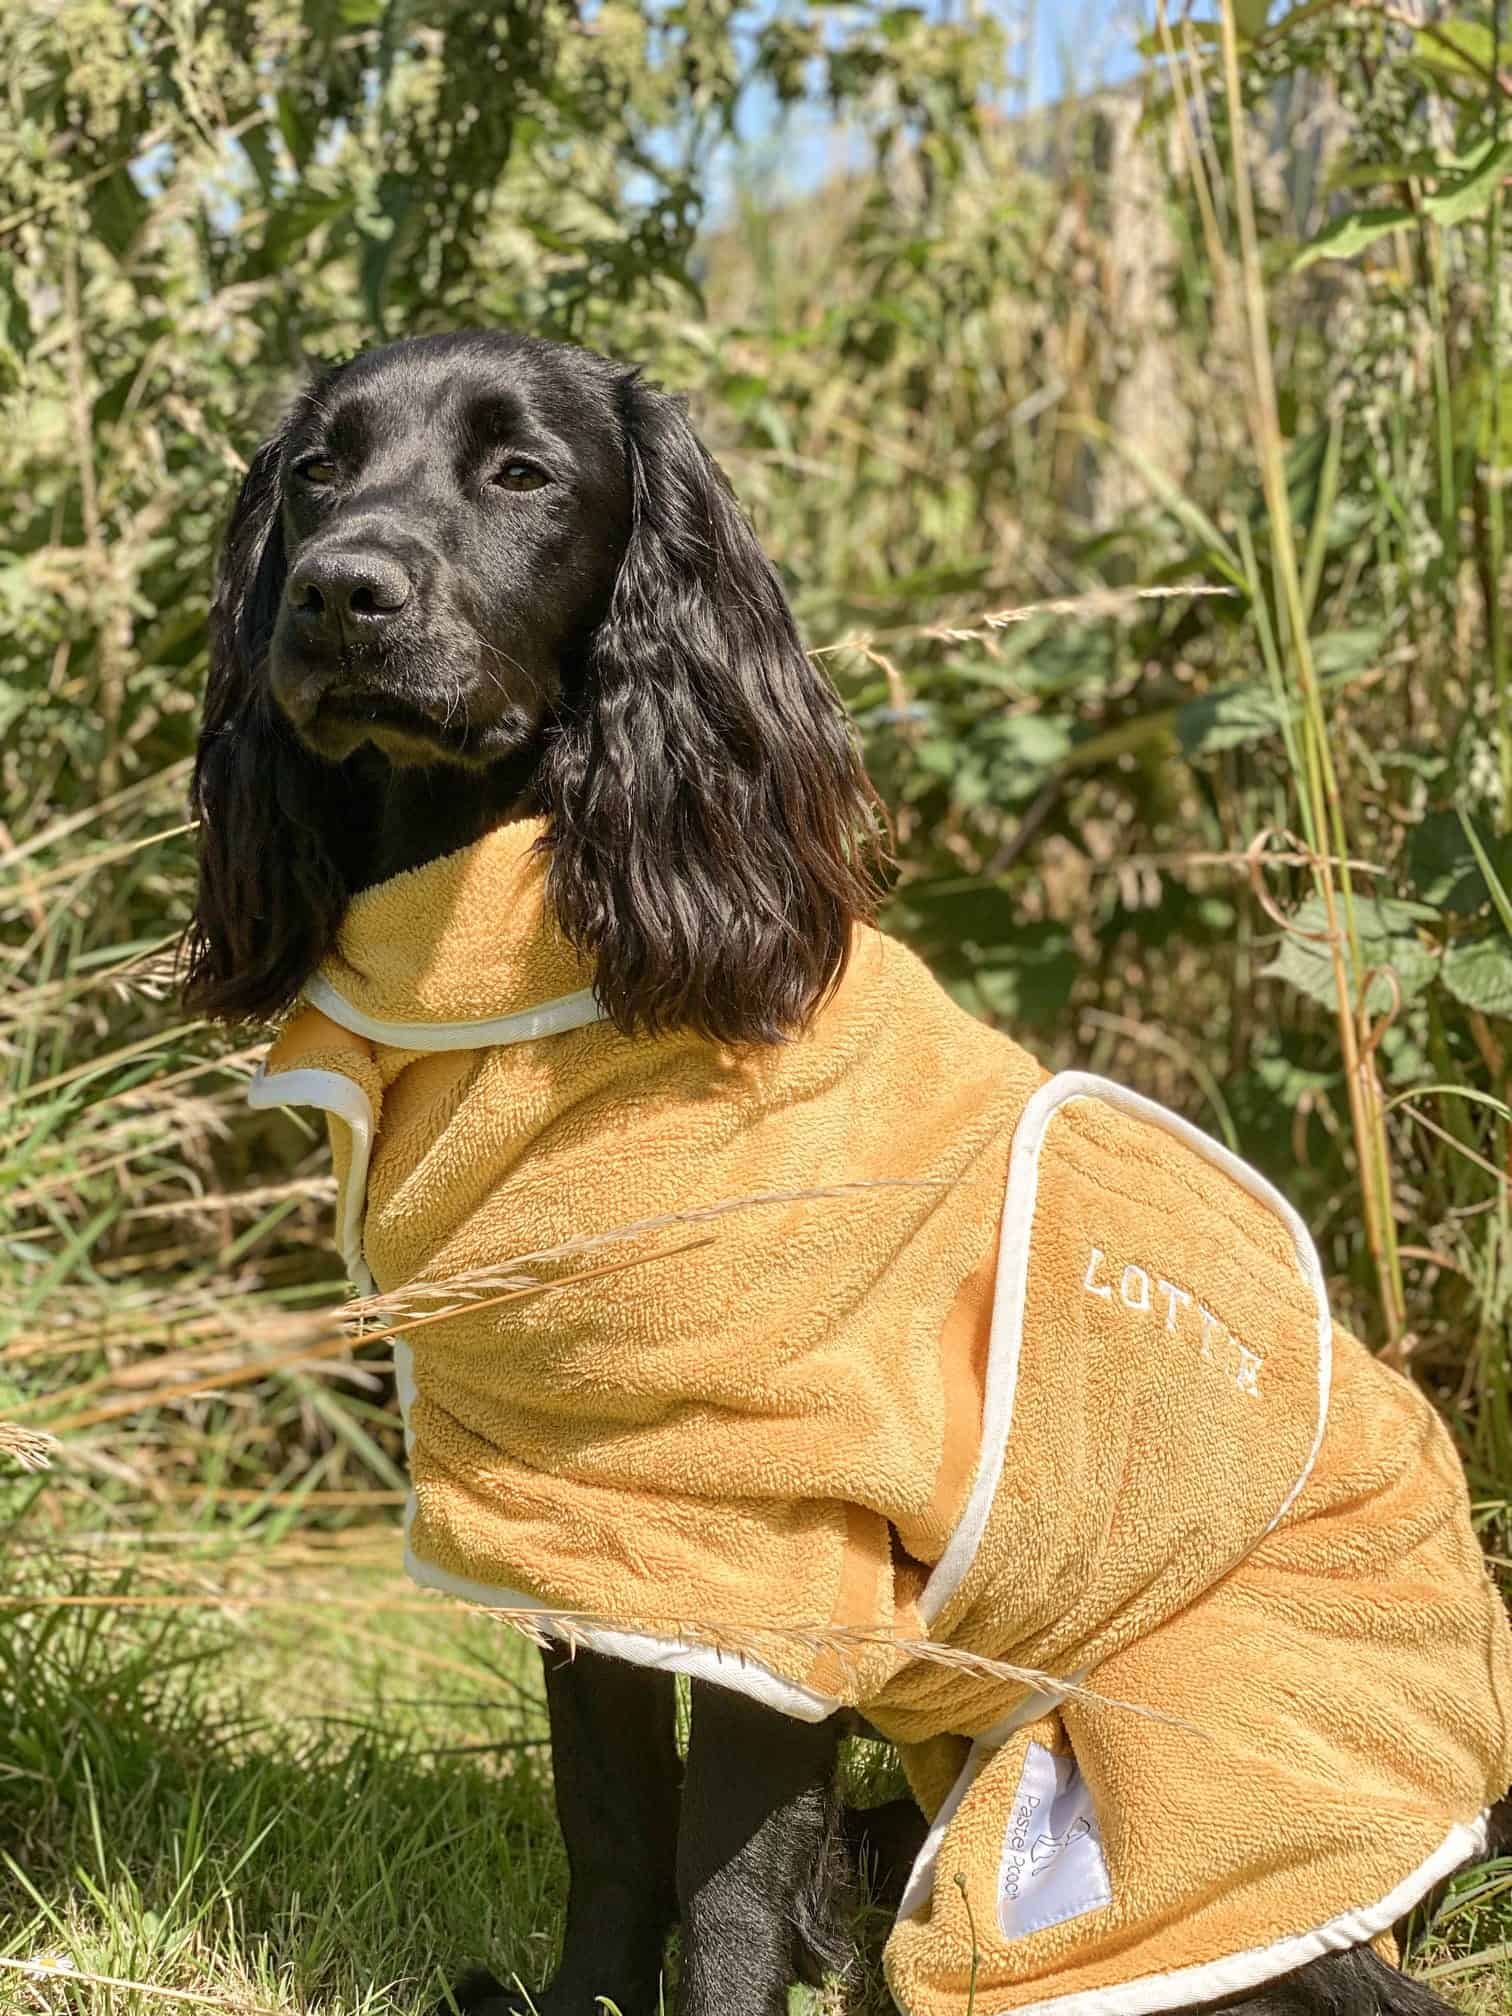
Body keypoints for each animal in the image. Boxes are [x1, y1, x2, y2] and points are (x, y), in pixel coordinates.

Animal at [186, 330, 1491, 2016]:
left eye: (522, 472)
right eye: (315, 470)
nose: (341, 590)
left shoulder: (773, 1545)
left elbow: (727, 1879)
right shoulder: (580, 1510)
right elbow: (615, 1825)